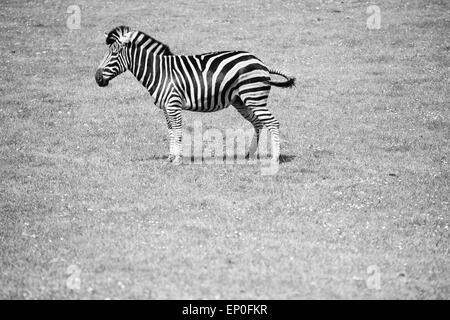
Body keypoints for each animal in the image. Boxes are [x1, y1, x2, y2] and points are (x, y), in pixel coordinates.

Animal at [95, 26, 296, 166]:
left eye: (114, 54)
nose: (97, 78)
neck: (159, 72)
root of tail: (261, 62)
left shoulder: (173, 105)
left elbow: (177, 131)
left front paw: (177, 160)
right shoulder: (166, 108)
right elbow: (170, 131)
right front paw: (170, 157)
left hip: (254, 98)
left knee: (273, 123)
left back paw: (275, 158)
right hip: (242, 101)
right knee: (258, 123)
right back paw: (250, 154)